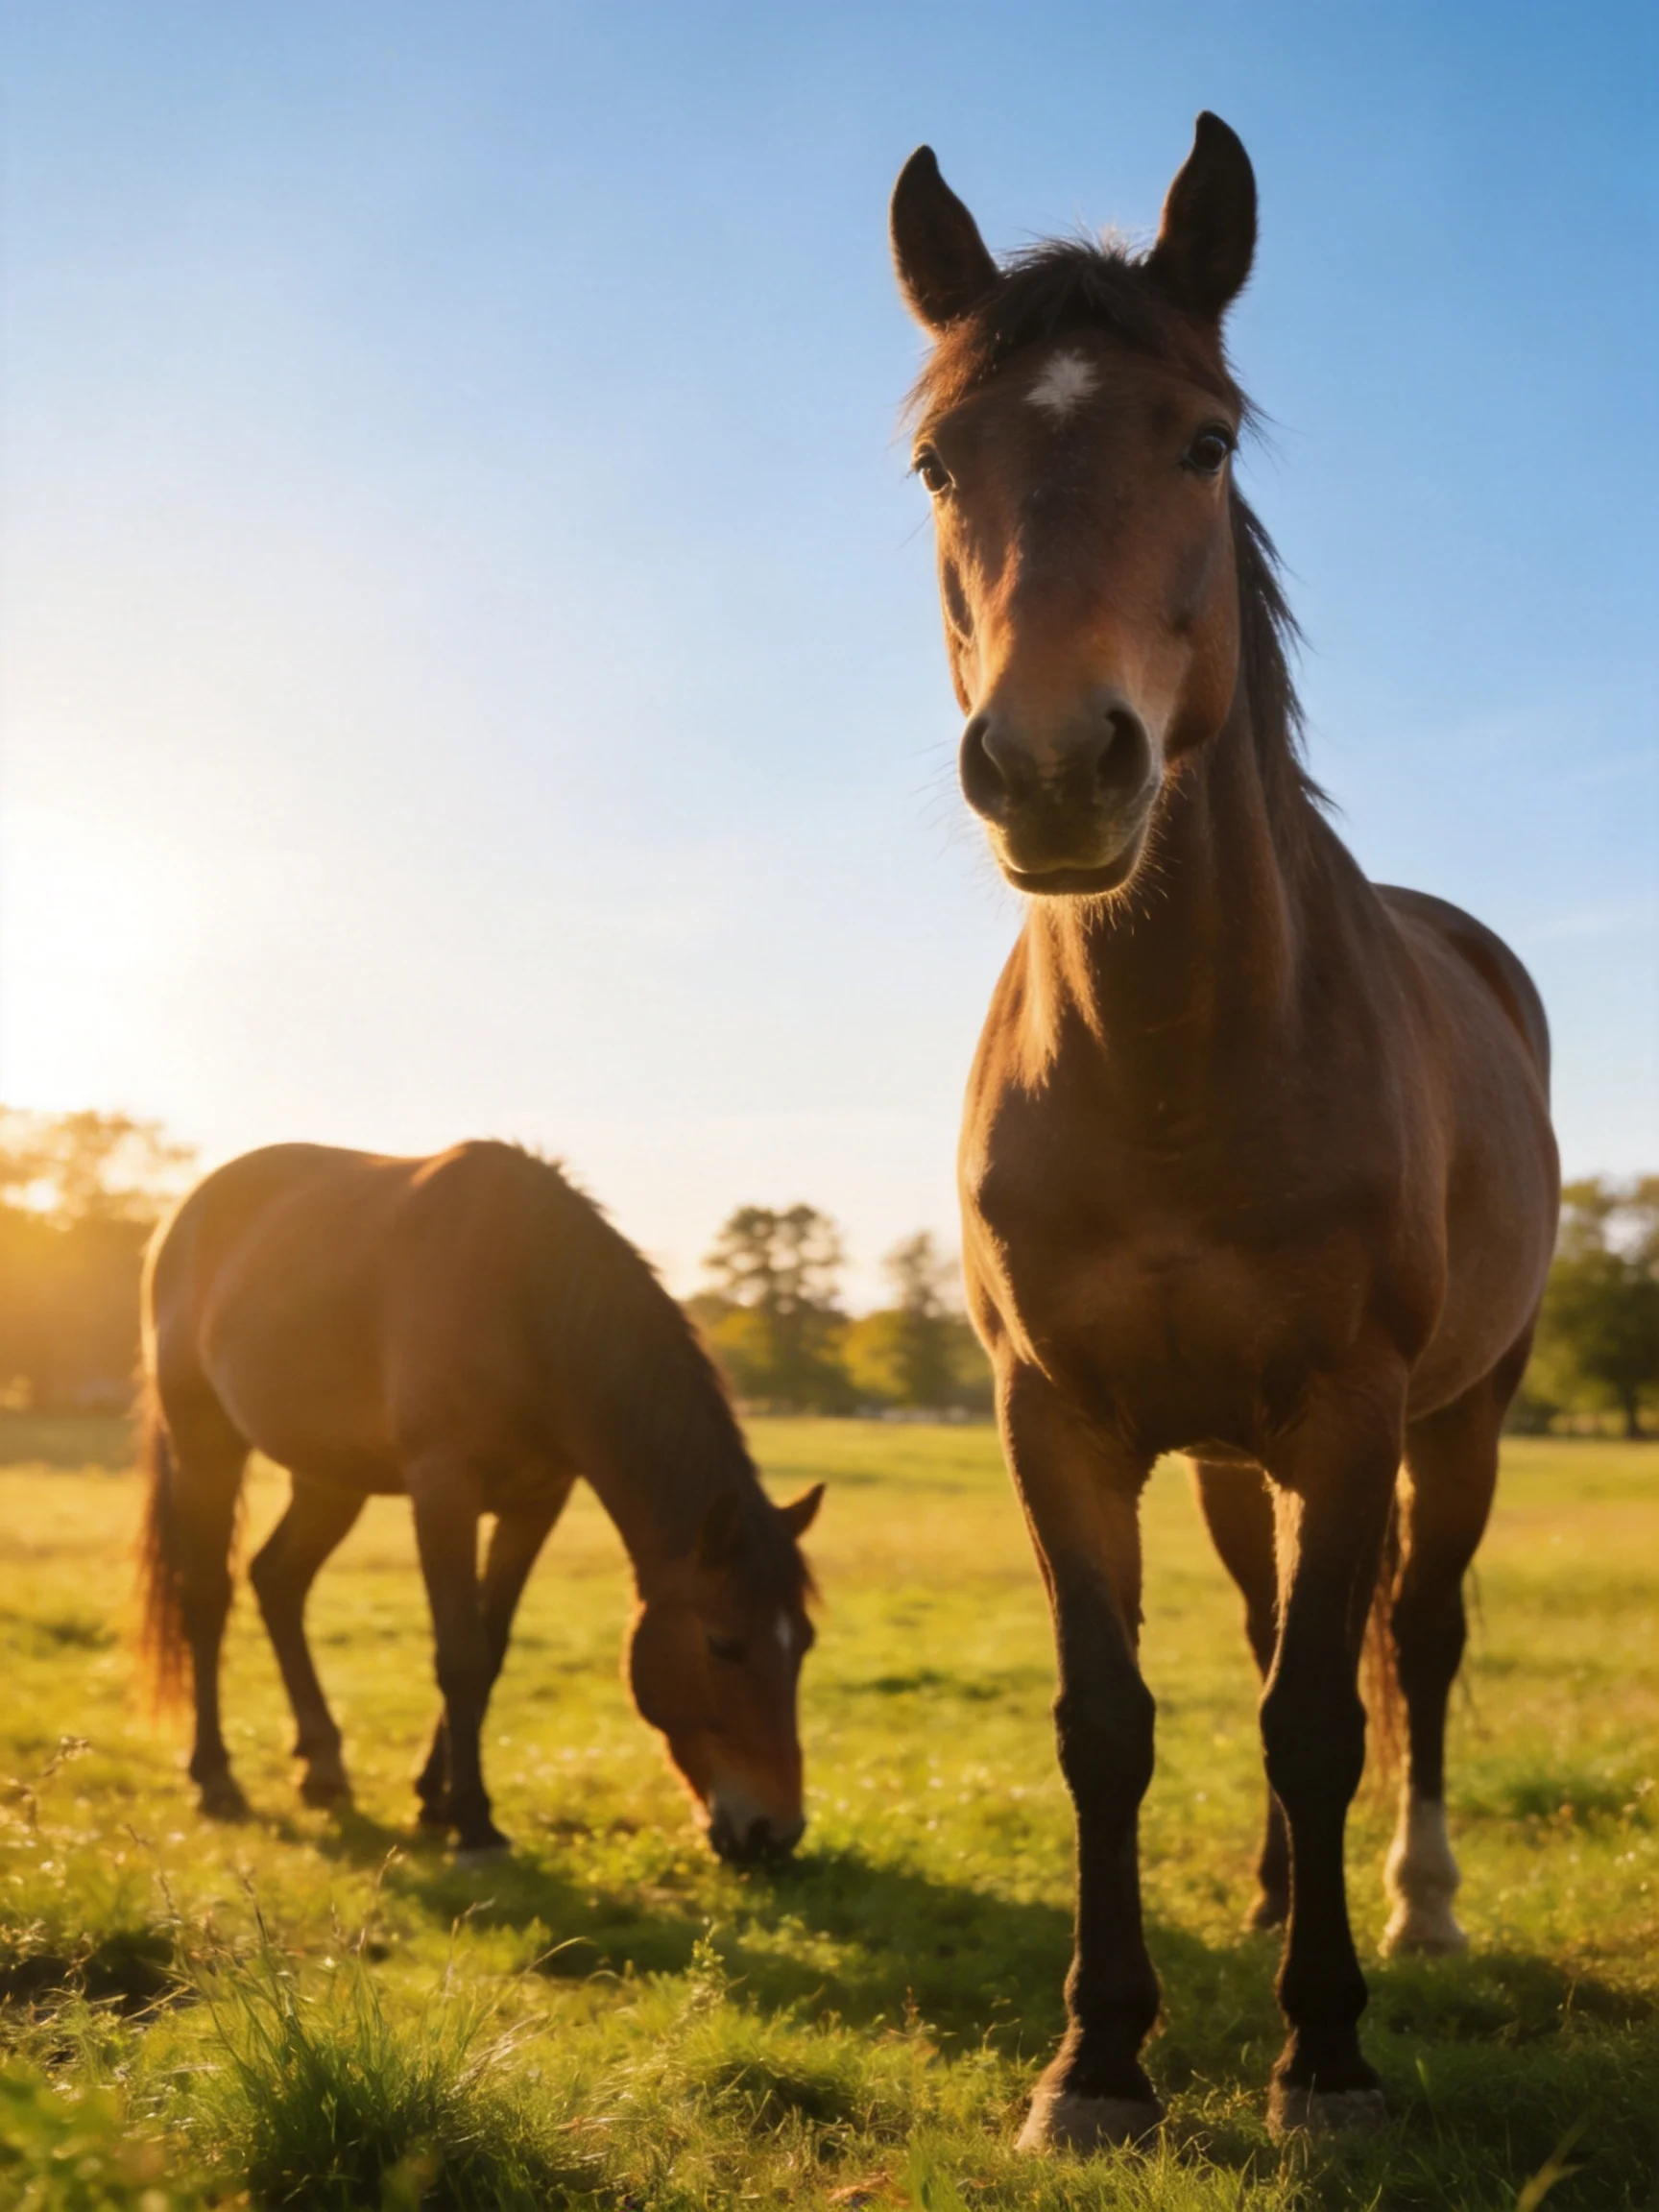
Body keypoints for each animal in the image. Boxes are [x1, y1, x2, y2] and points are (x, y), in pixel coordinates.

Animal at [137, 1140, 823, 1864]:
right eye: (723, 1644)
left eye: (804, 1642)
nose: (775, 1833)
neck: (525, 1303)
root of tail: (184, 1214)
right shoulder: (444, 1488)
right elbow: (459, 1652)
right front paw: (473, 1820)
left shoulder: (536, 1504)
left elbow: (489, 1650)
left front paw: (432, 1799)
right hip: (205, 1443)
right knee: (207, 1597)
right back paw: (215, 1778)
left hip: (329, 1477)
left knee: (277, 1580)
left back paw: (322, 1766)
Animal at [889, 115, 1557, 2146]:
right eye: (940, 460)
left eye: (1201, 440)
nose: (1052, 766)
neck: (1176, 1062)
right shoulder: (1057, 1419)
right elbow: (1111, 1722)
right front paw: (1095, 2055)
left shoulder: (1349, 1409)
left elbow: (1327, 1715)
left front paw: (1322, 2055)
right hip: (1224, 1460)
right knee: (1273, 1630)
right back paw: (1272, 1889)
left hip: (1455, 1416)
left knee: (1412, 1642)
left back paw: (1410, 1907)